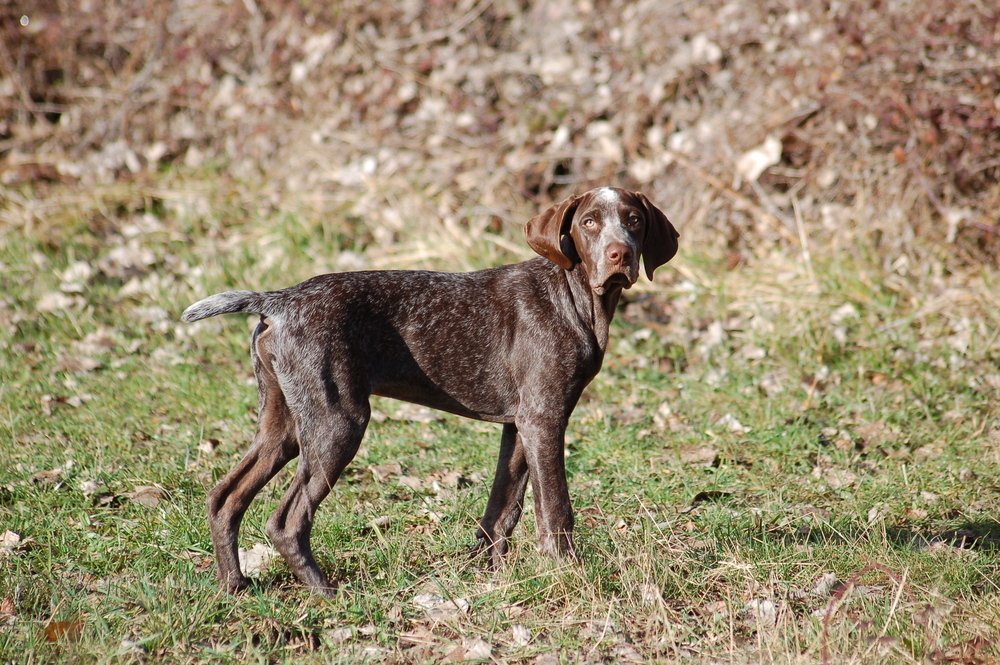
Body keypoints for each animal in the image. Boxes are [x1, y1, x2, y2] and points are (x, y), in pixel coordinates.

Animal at [180, 188, 680, 596]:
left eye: (634, 220)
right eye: (589, 222)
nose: (620, 254)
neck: (574, 296)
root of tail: (280, 299)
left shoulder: (521, 424)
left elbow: (502, 509)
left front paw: (486, 573)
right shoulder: (544, 418)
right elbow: (555, 509)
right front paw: (568, 572)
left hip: (283, 424)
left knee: (224, 497)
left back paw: (234, 585)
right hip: (337, 423)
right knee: (286, 521)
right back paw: (326, 591)